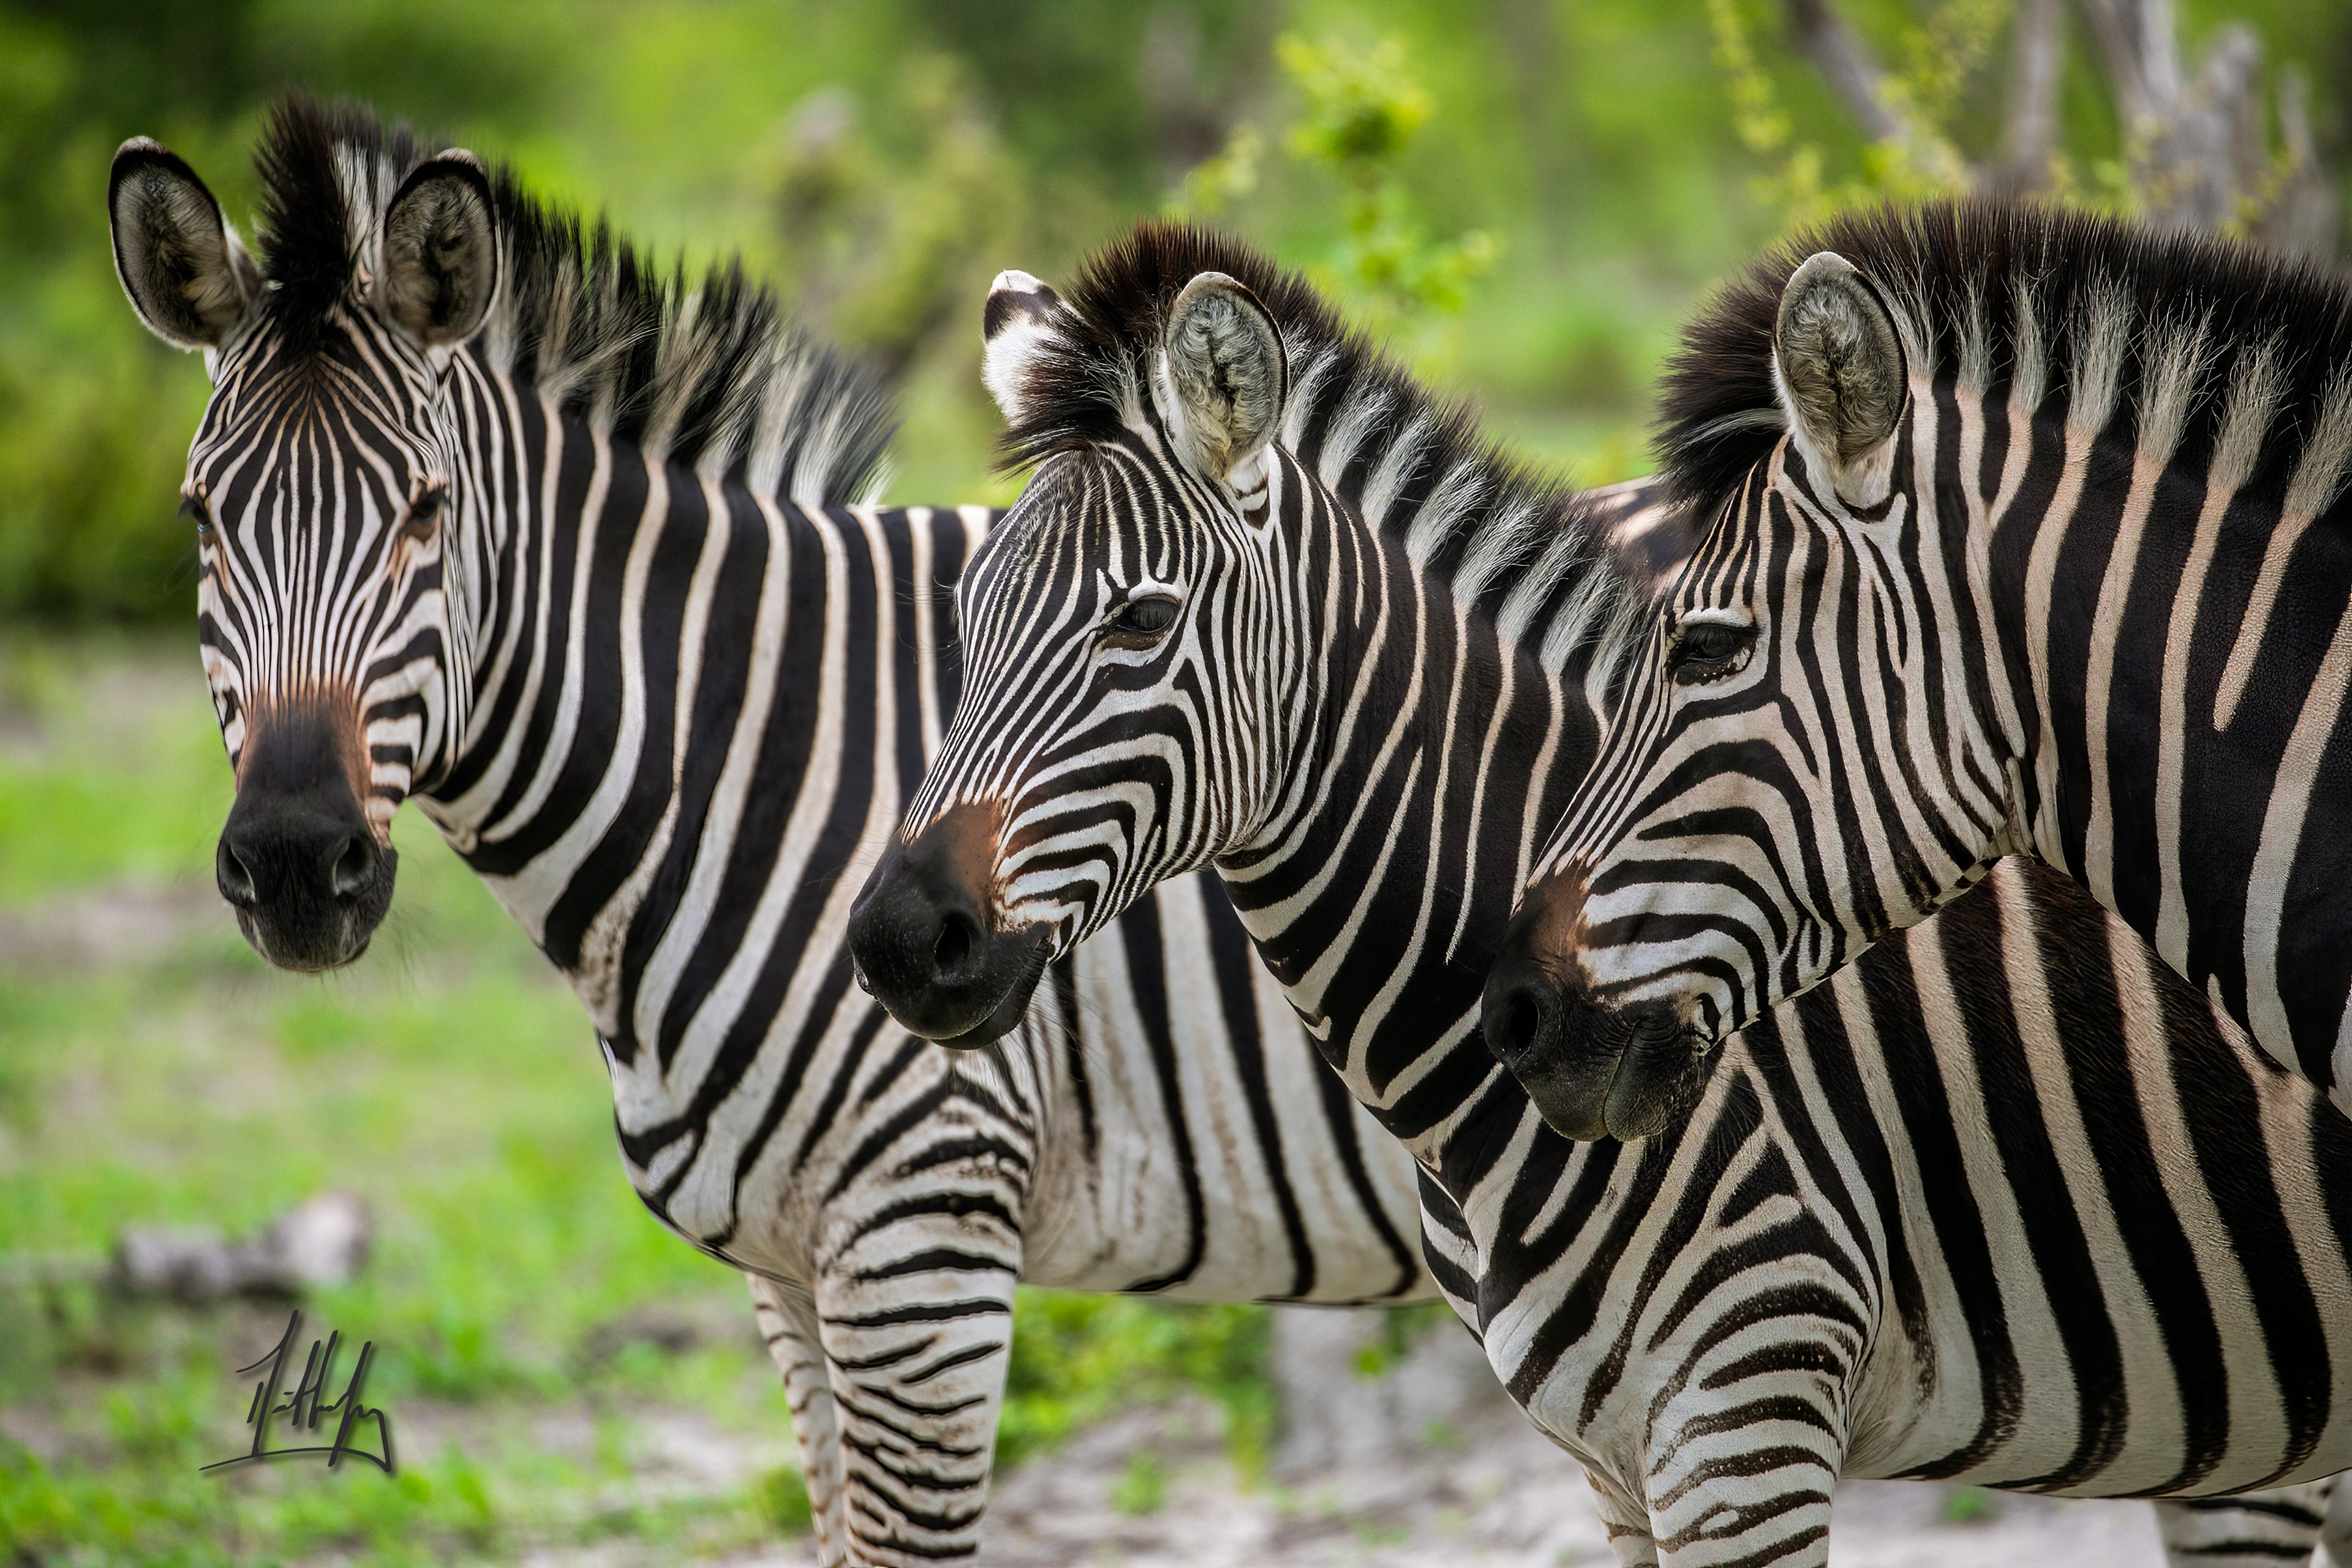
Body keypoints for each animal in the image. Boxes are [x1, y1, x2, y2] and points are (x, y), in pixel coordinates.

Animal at [106, 99, 1444, 1568]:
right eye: (198, 518)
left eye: (425, 510)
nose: (296, 864)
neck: (739, 764)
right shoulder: (789, 1268)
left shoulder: (924, 1239)